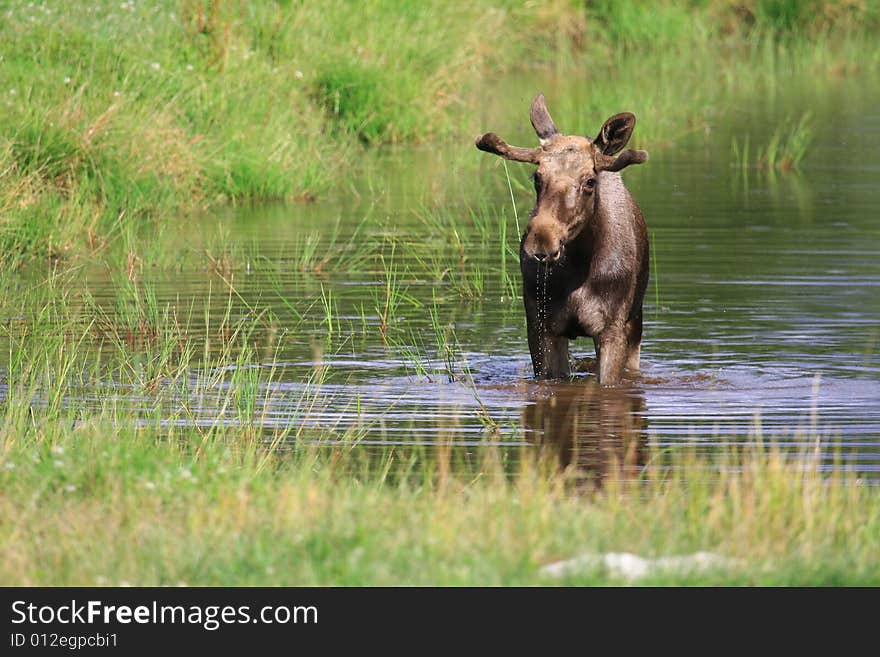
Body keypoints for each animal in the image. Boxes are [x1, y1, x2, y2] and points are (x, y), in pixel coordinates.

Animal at [478, 92, 648, 384]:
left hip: (635, 321)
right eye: (536, 176)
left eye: (590, 181)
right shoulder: (540, 325)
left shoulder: (613, 328)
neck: (580, 267)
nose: (542, 241)